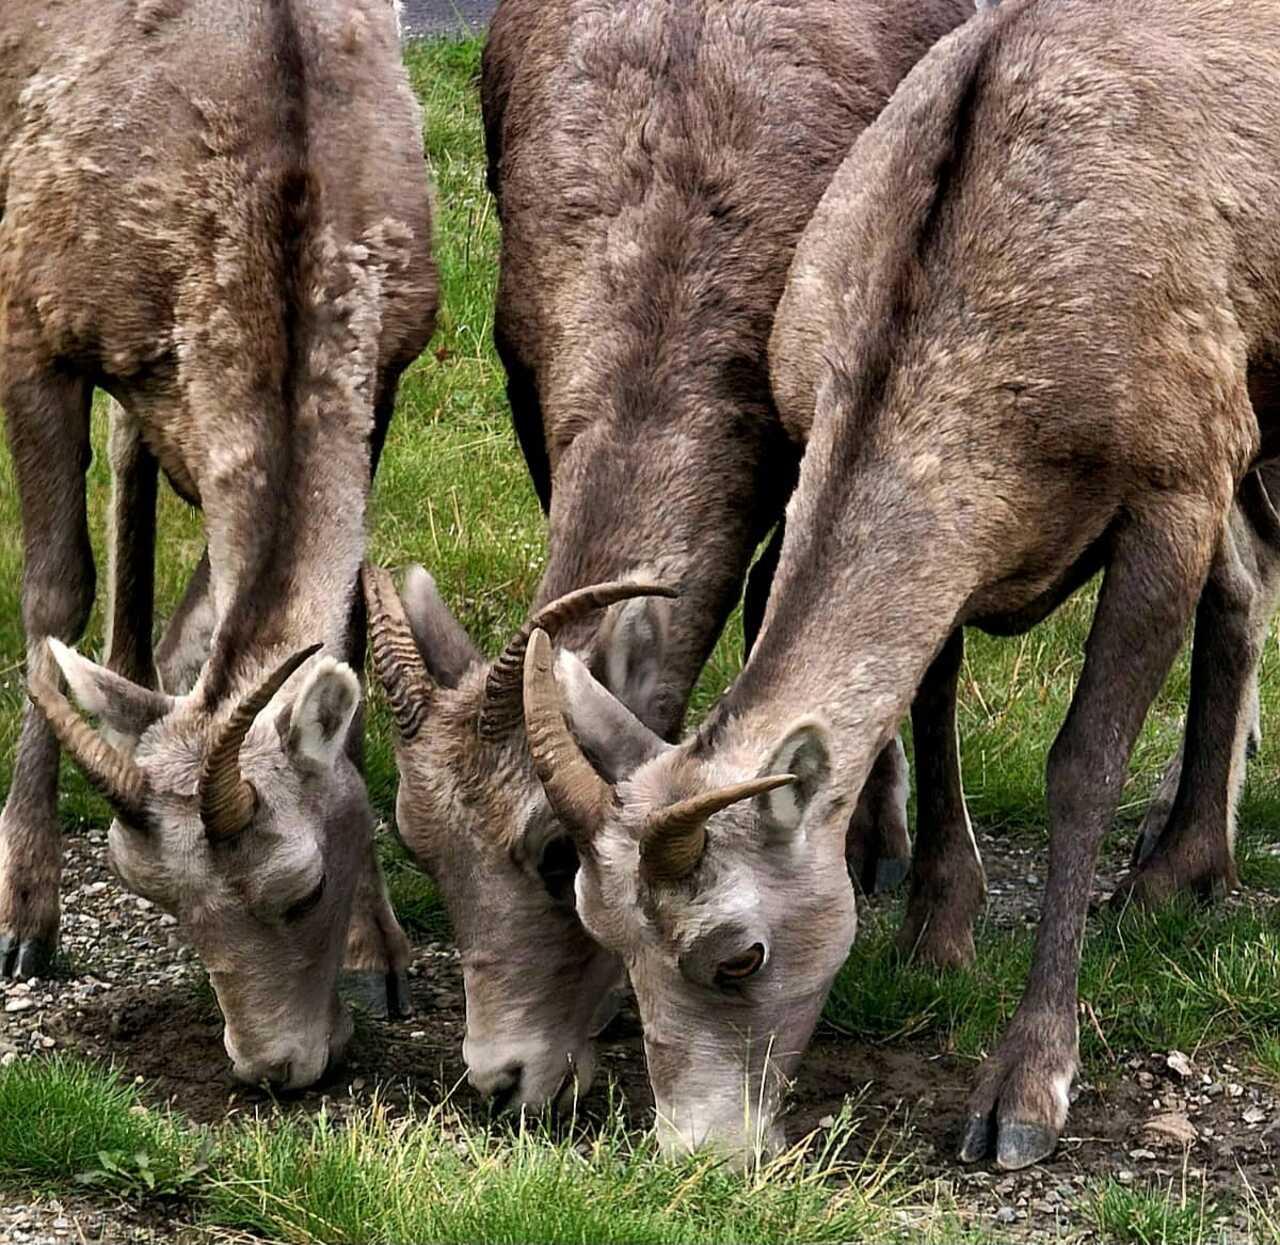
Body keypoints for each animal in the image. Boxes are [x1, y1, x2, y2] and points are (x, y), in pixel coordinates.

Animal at [0, 0, 437, 1087]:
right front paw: (25, 913)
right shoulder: (30, 317)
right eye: (159, 900)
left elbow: (340, 627)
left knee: (132, 447)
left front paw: (380, 954)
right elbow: (52, 591)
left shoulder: (388, 366)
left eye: (303, 886)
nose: (274, 1067)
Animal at [520, 0, 1280, 1168]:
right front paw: (936, 931)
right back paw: (1177, 869)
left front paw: (1023, 1095)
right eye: (606, 931)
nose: (698, 1155)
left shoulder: (1176, 484)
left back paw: (1177, 866)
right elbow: (929, 700)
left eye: (736, 954)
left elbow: (1081, 765)